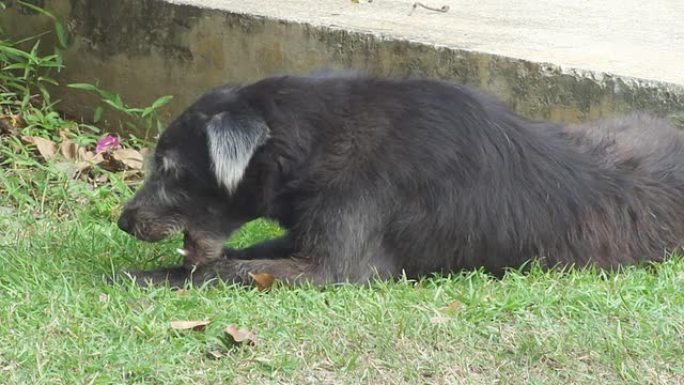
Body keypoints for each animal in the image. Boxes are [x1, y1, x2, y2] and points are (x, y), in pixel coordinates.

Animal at [116, 73, 684, 286]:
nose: (123, 222)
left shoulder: (334, 270)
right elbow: (234, 257)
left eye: (171, 169)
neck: (319, 139)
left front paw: (139, 276)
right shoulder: (302, 236)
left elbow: (220, 271)